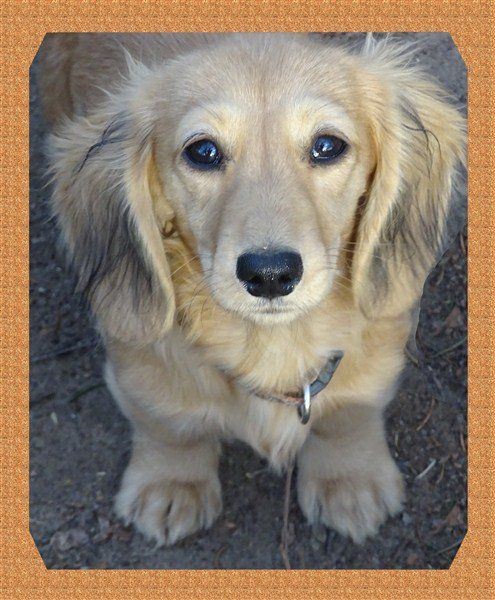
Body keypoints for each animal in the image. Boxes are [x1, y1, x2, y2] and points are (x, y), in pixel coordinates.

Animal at [38, 33, 465, 547]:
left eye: (327, 146)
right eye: (203, 151)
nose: (270, 274)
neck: (274, 344)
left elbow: (348, 413)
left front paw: (349, 479)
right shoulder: (142, 363)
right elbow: (168, 423)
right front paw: (171, 483)